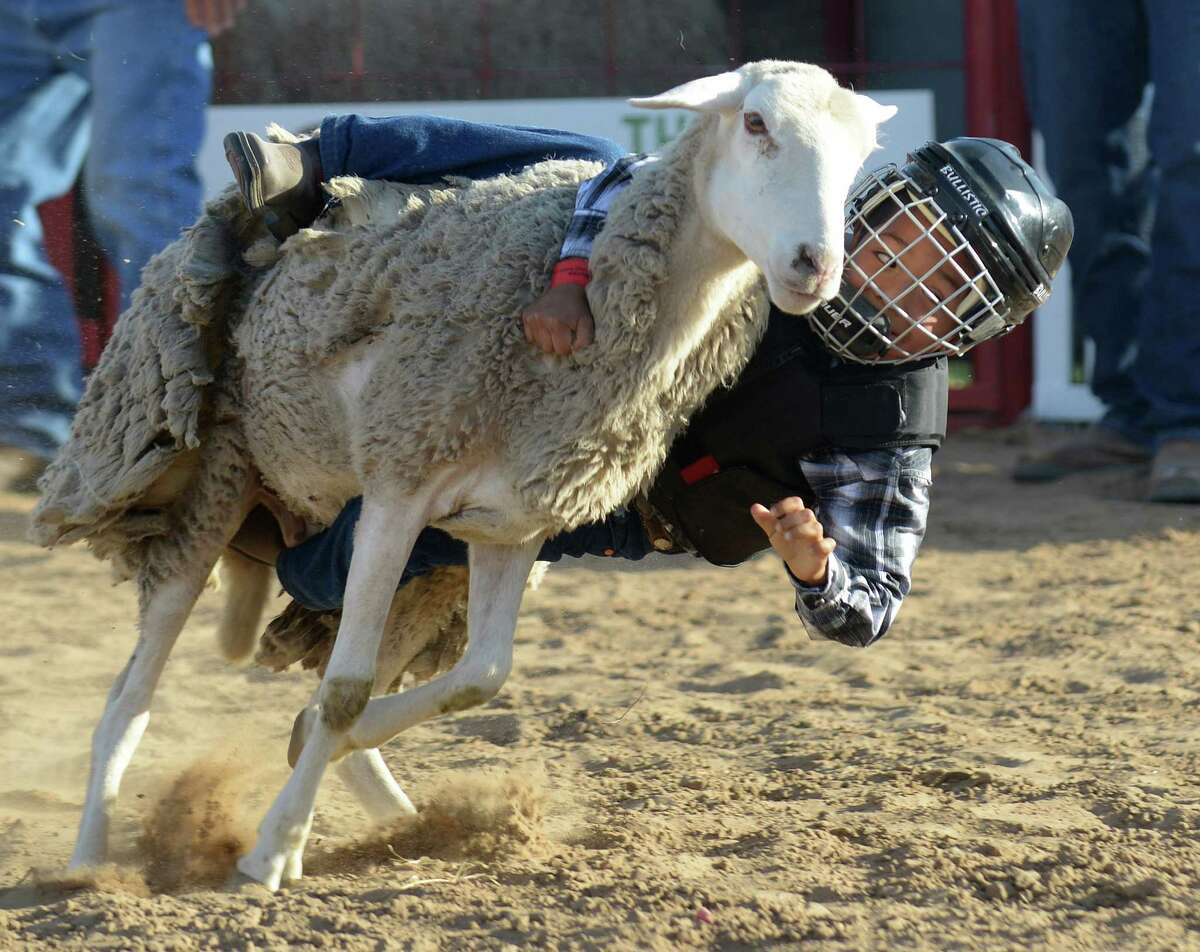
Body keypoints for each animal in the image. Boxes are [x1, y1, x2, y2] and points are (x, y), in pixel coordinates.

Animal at [28, 61, 897, 893]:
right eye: (755, 124)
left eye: (860, 157)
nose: (815, 267)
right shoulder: (399, 481)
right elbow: (346, 690)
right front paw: (269, 857)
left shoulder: (512, 521)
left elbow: (477, 678)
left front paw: (310, 781)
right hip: (208, 478)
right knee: (130, 700)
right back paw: (91, 859)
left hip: (368, 541)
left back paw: (395, 815)